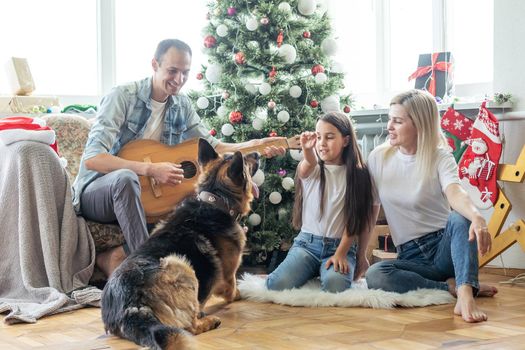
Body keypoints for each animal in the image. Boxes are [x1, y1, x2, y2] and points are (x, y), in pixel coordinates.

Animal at [100, 139, 258, 350]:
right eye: (246, 164)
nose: (257, 153)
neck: (215, 200)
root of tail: (130, 305)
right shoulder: (227, 278)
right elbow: (233, 290)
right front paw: (242, 292)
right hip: (180, 265)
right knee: (189, 326)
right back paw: (209, 321)